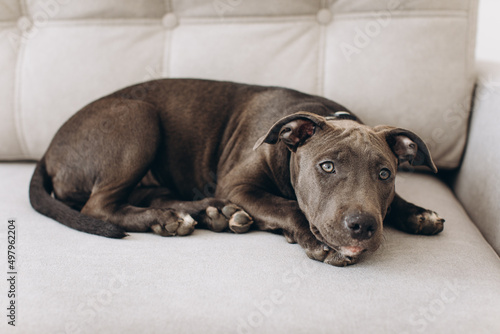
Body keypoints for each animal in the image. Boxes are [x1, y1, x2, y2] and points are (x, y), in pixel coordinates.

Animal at [30, 79, 446, 266]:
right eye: (326, 166)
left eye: (385, 174)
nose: (362, 226)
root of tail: (48, 150)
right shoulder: (236, 183)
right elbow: (287, 206)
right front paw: (316, 241)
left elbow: (396, 202)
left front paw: (419, 213)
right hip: (138, 117)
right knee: (99, 207)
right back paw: (173, 218)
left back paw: (208, 212)